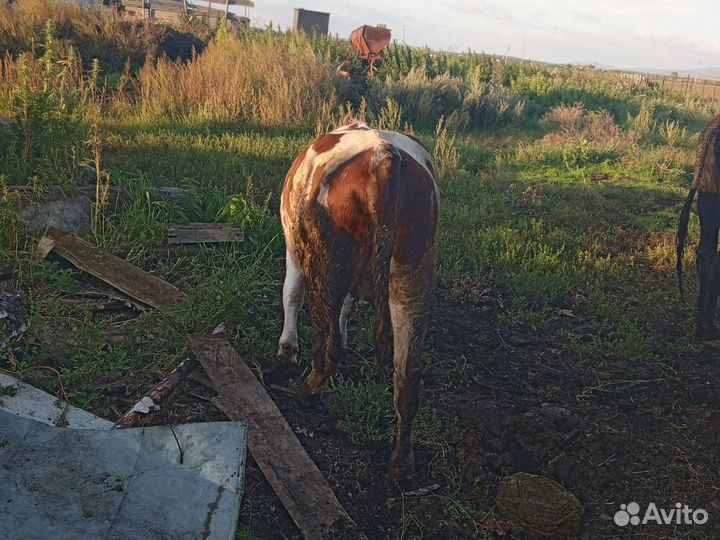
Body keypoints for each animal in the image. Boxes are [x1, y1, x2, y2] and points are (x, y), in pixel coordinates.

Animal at [276, 122, 438, 481]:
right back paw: (401, 463)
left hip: (326, 261)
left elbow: (291, 294)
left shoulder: (294, 246)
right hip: (413, 271)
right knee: (408, 374)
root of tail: (383, 157)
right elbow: (346, 309)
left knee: (328, 347)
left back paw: (303, 392)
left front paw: (287, 351)